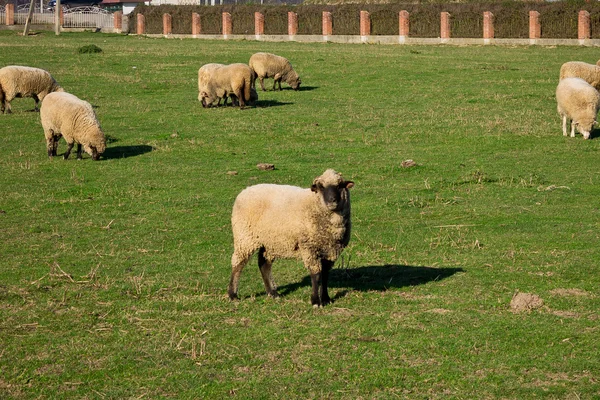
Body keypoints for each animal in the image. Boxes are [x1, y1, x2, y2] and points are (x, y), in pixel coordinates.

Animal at [229, 169, 352, 306]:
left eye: (340, 185)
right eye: (321, 187)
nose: (332, 200)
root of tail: (244, 191)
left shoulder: (331, 251)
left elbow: (325, 275)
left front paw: (326, 299)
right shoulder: (309, 248)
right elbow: (316, 275)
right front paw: (315, 301)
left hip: (270, 241)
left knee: (264, 265)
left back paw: (272, 293)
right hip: (245, 237)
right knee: (238, 263)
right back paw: (233, 295)